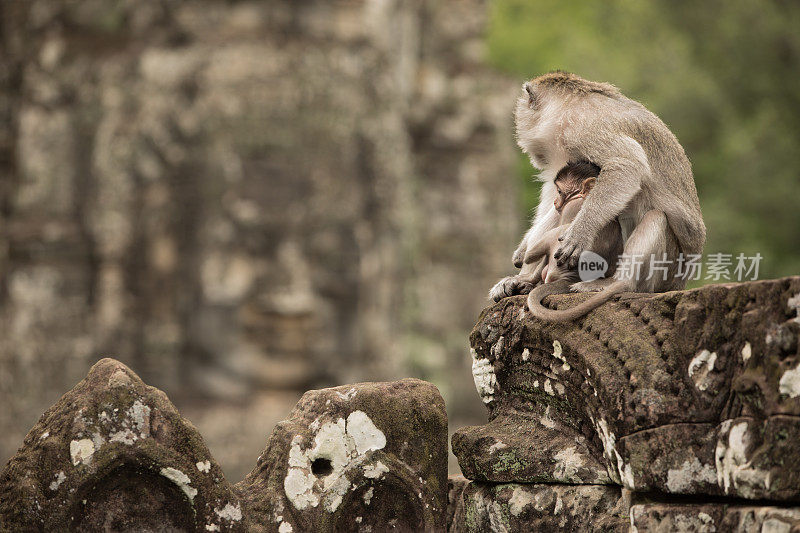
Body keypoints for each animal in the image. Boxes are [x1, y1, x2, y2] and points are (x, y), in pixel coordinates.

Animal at [488, 70, 708, 314]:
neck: (568, 107)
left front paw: (580, 232)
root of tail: (681, 282)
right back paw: (525, 281)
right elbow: (554, 200)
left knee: (656, 217)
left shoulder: (583, 130)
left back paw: (616, 283)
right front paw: (523, 254)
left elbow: (626, 166)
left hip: (665, 272)